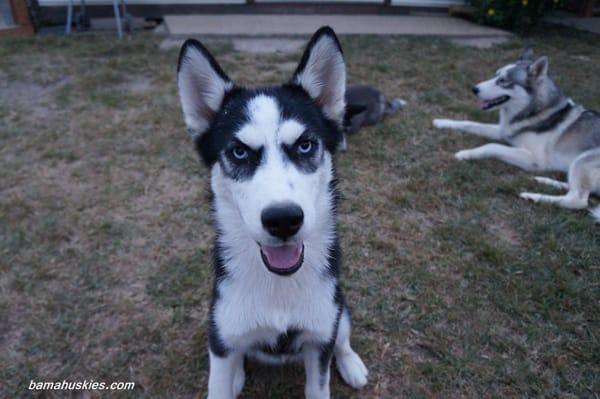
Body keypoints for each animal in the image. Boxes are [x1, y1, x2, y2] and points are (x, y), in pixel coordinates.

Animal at [176, 26, 368, 398]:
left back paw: (351, 362)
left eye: (305, 145)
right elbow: (221, 374)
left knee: (342, 337)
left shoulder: (320, 338)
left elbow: (320, 380)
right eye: (238, 152)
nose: (282, 220)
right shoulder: (220, 336)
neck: (279, 285)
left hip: (339, 309)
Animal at [434, 47, 600, 222]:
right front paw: (441, 122)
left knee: (578, 200)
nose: (474, 89)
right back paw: (544, 180)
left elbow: (492, 146)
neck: (533, 111)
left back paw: (533, 196)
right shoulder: (503, 131)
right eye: (495, 75)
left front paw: (465, 153)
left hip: (582, 160)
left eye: (503, 81)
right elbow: (469, 123)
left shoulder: (535, 160)